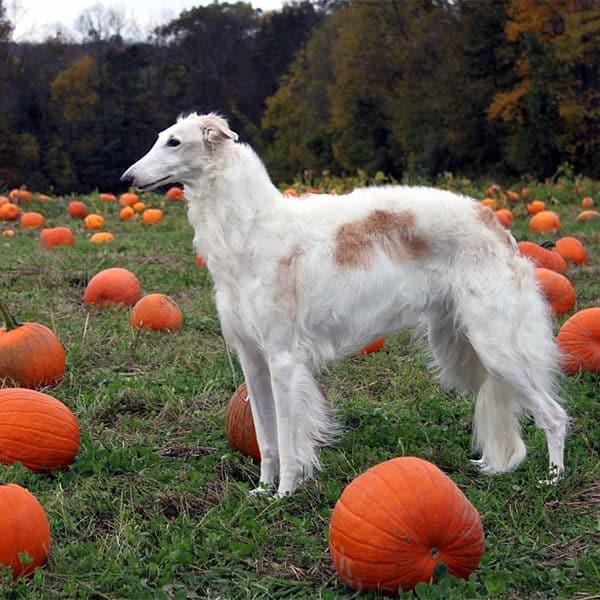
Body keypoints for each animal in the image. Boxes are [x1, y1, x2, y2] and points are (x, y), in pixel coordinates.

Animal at [120, 112, 568, 496]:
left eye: (174, 141)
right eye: (160, 138)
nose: (127, 176)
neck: (251, 229)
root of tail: (495, 226)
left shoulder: (283, 358)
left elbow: (287, 436)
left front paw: (285, 493)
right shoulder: (252, 358)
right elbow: (266, 437)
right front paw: (262, 490)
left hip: (495, 347)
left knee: (554, 415)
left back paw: (553, 479)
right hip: (462, 349)